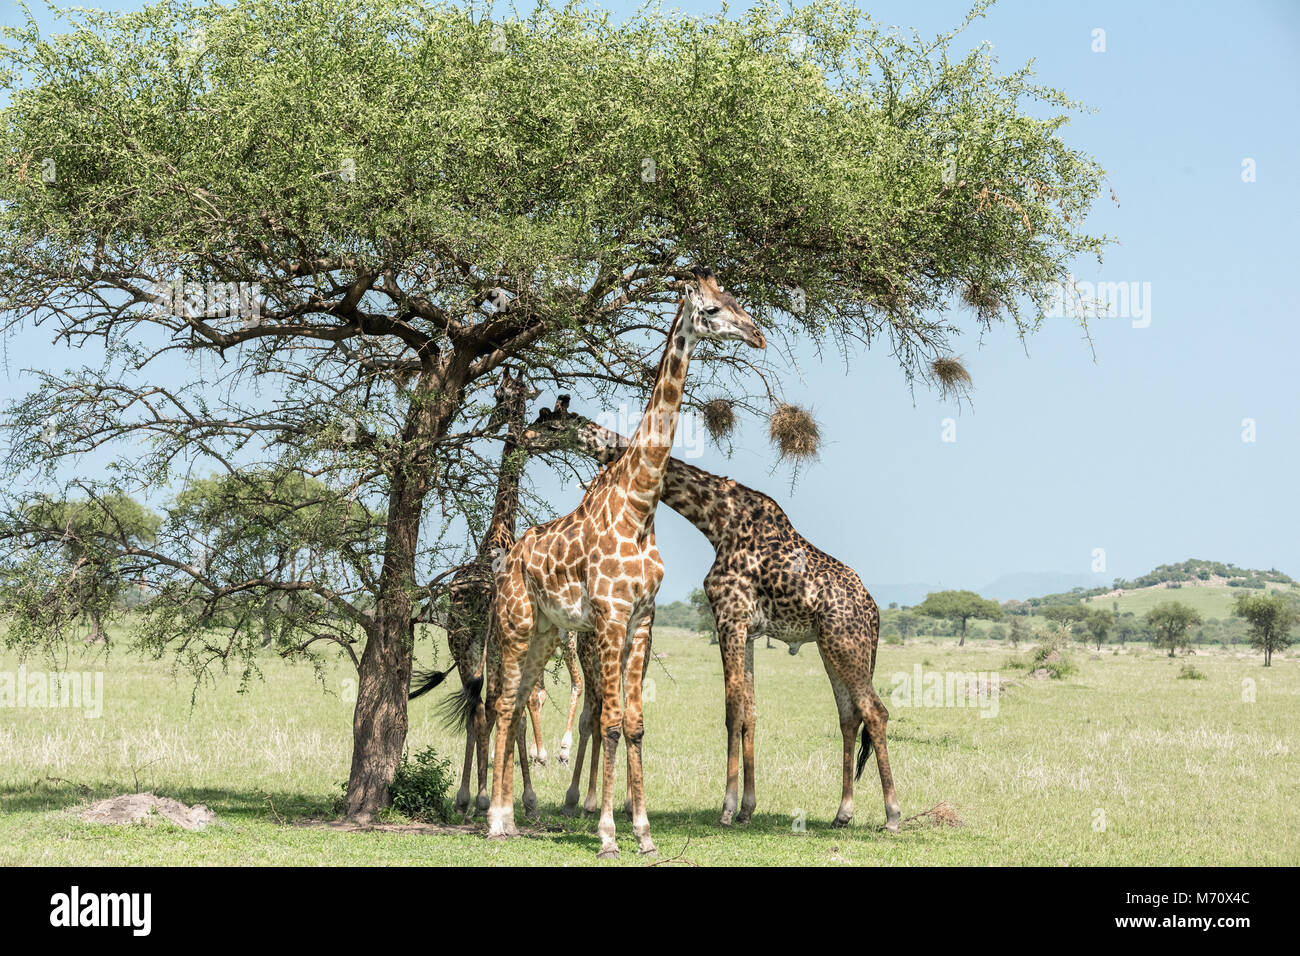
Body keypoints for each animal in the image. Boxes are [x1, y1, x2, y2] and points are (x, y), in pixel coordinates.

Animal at [486, 269, 759, 858]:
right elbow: (610, 720)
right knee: (503, 704)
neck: (640, 504)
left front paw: (645, 832)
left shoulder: (643, 618)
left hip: (547, 631)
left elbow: (634, 722)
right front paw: (609, 833)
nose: (757, 335)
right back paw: (494, 819)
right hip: (516, 624)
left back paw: (512, 818)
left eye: (734, 299)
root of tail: (509, 558)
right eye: (710, 309)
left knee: (517, 704)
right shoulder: (611, 616)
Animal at [522, 395, 899, 832]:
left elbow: (733, 712)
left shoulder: (728, 616)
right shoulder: (748, 629)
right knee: (849, 716)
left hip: (845, 642)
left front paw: (727, 808)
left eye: (551, 424)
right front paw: (748, 807)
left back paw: (892, 814)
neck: (716, 520)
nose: (523, 438)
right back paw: (843, 812)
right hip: (831, 647)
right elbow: (750, 712)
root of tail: (873, 611)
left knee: (876, 712)